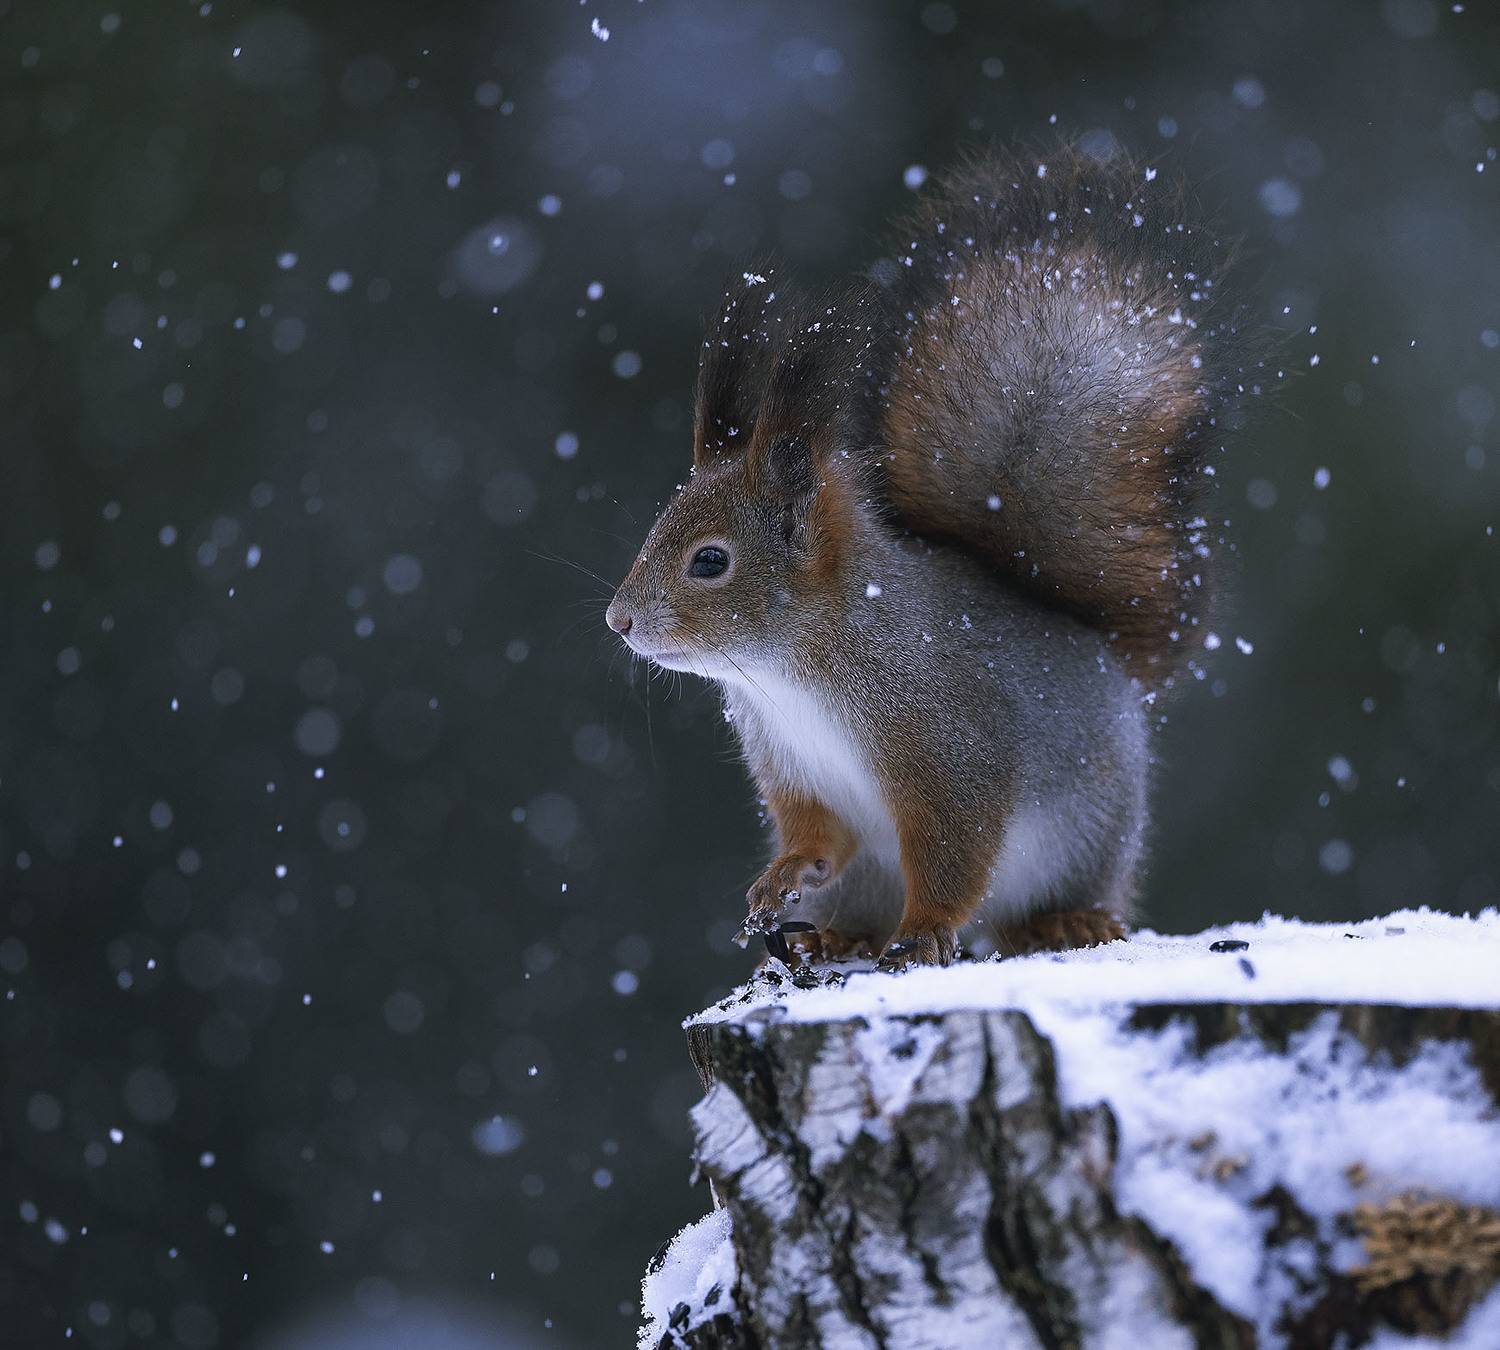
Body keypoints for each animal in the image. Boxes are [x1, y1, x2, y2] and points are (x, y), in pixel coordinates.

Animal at [606, 143, 1248, 966]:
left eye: (710, 561)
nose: (620, 622)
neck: (791, 671)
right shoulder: (794, 769)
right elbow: (817, 833)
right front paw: (784, 874)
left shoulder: (949, 745)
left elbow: (952, 848)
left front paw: (927, 930)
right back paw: (836, 936)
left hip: (1085, 840)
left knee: (1033, 907)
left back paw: (1062, 922)